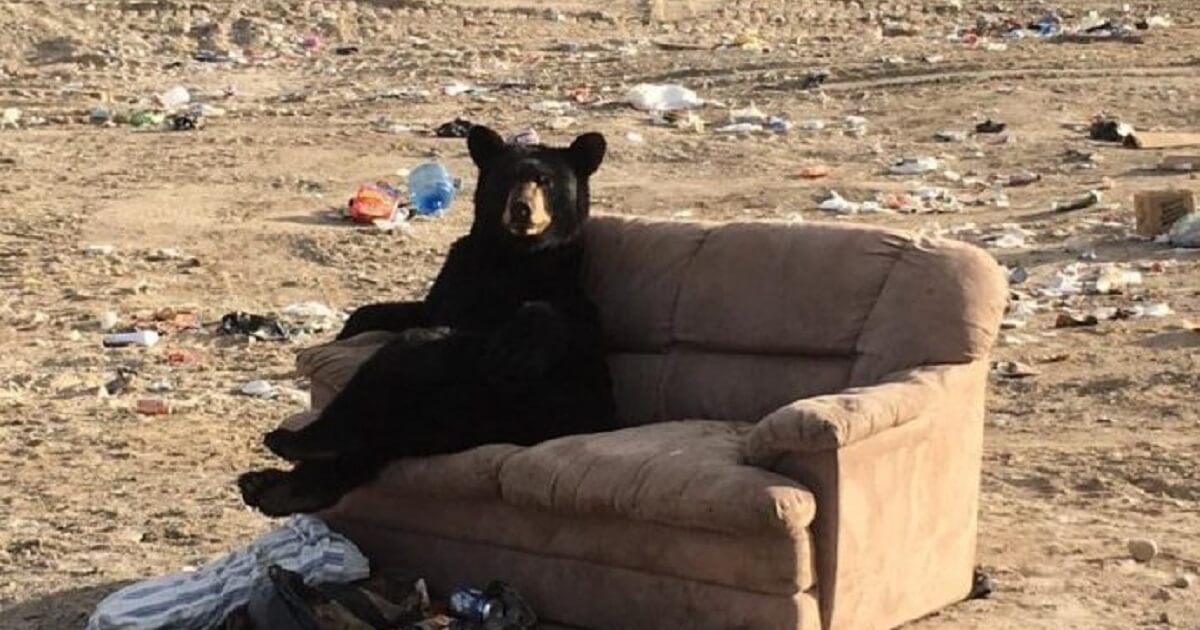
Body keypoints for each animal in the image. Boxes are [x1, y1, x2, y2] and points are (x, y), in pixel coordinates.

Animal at [240, 124, 624, 516]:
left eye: (545, 181)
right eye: (506, 178)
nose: (521, 209)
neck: (511, 255)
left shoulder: (559, 286)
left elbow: (562, 321)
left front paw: (521, 341)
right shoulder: (456, 275)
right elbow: (407, 310)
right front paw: (351, 326)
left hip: (492, 401)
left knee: (410, 365)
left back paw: (296, 449)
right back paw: (274, 484)